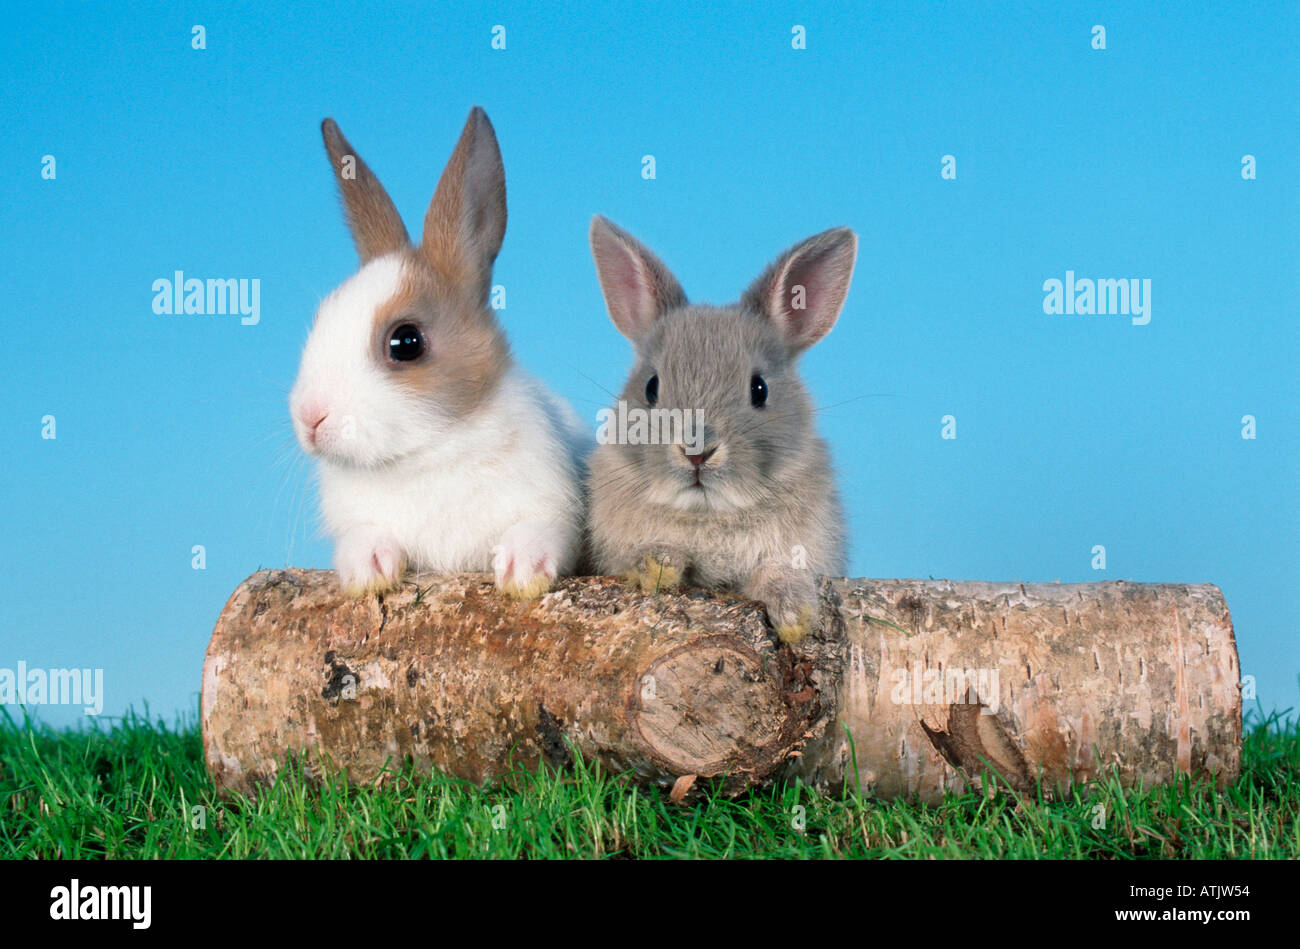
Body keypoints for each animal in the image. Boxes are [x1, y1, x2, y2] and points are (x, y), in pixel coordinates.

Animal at [288, 107, 590, 598]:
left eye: (406, 342)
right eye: (319, 319)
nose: (310, 417)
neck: (427, 453)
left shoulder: (555, 509)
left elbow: (541, 531)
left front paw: (521, 571)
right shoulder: (357, 519)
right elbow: (363, 535)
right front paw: (367, 570)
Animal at [585, 216, 855, 643]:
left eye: (759, 389)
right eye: (651, 387)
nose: (697, 452)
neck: (708, 513)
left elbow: (776, 572)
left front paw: (794, 613)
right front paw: (657, 564)